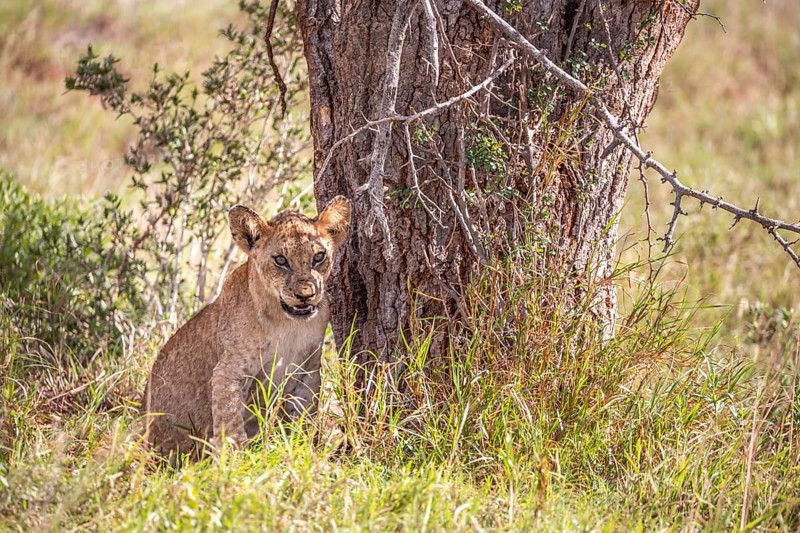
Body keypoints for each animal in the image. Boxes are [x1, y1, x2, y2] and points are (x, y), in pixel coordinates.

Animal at [143, 196, 351, 460]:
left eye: (319, 257)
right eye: (281, 260)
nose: (305, 295)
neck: (286, 324)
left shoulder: (308, 372)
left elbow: (302, 418)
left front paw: (299, 450)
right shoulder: (229, 371)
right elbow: (230, 421)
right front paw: (235, 460)